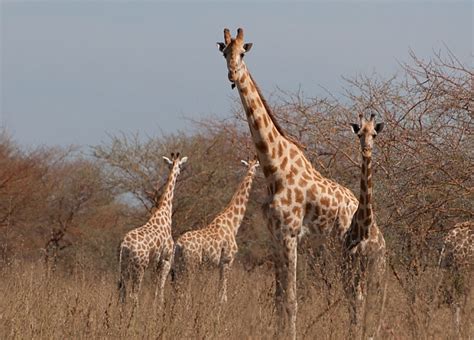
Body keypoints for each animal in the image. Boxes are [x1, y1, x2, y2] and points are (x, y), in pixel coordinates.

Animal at [117, 153, 188, 310]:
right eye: (180, 165)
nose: (180, 172)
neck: (165, 214)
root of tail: (125, 246)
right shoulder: (166, 260)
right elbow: (160, 291)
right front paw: (159, 310)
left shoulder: (156, 263)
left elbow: (156, 290)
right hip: (139, 267)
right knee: (133, 295)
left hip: (123, 265)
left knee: (122, 294)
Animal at [172, 158, 260, 304]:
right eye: (256, 166)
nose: (255, 175)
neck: (233, 224)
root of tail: (179, 244)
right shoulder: (227, 260)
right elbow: (223, 293)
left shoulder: (219, 264)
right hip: (191, 264)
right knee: (186, 291)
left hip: (178, 265)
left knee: (176, 289)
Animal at [217, 27, 358, 338]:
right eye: (224, 53)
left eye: (243, 52)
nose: (232, 74)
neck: (273, 168)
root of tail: (358, 203)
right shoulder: (275, 235)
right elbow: (278, 298)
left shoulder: (291, 234)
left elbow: (291, 301)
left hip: (348, 242)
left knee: (356, 291)